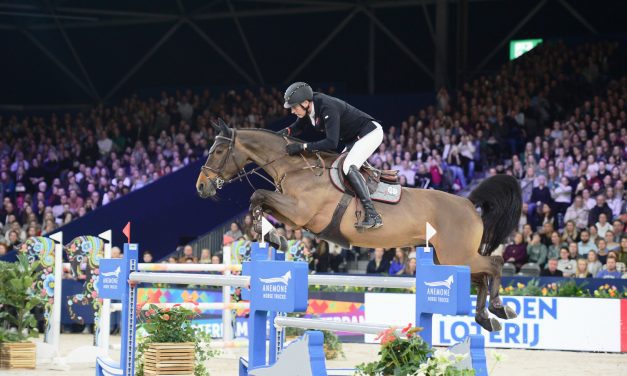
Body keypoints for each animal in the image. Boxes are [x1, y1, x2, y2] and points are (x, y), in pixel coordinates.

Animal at [199, 120, 524, 332]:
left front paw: (269, 234)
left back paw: (499, 308)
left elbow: (258, 195)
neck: (296, 167)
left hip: (457, 255)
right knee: (481, 278)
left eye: (217, 151)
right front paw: (272, 236)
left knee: (494, 264)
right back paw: (485, 318)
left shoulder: (303, 213)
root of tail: (469, 204)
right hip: (450, 259)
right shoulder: (294, 213)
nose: (201, 186)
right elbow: (262, 202)